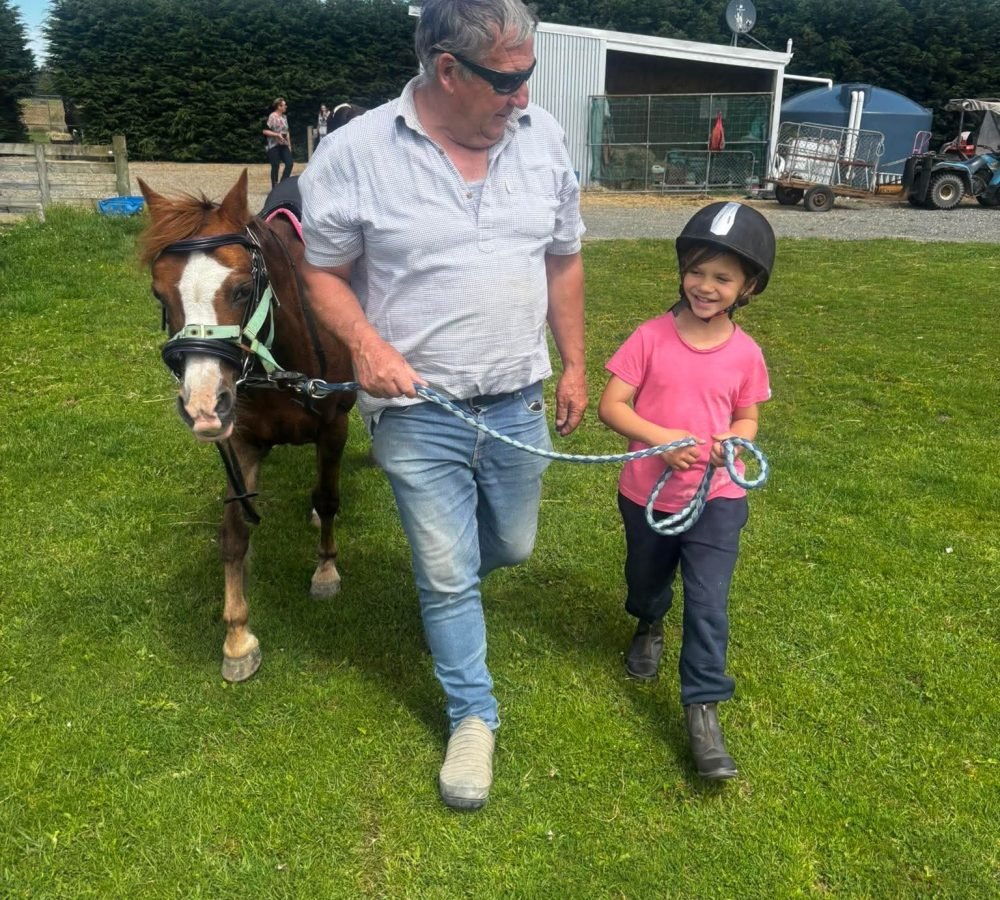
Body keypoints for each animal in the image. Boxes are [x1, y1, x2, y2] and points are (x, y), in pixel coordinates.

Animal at [138, 170, 356, 683]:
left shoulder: (334, 427)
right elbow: (235, 530)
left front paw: (326, 570)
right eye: (160, 294)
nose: (201, 404)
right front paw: (237, 637)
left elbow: (328, 497)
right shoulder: (241, 441)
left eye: (240, 290)